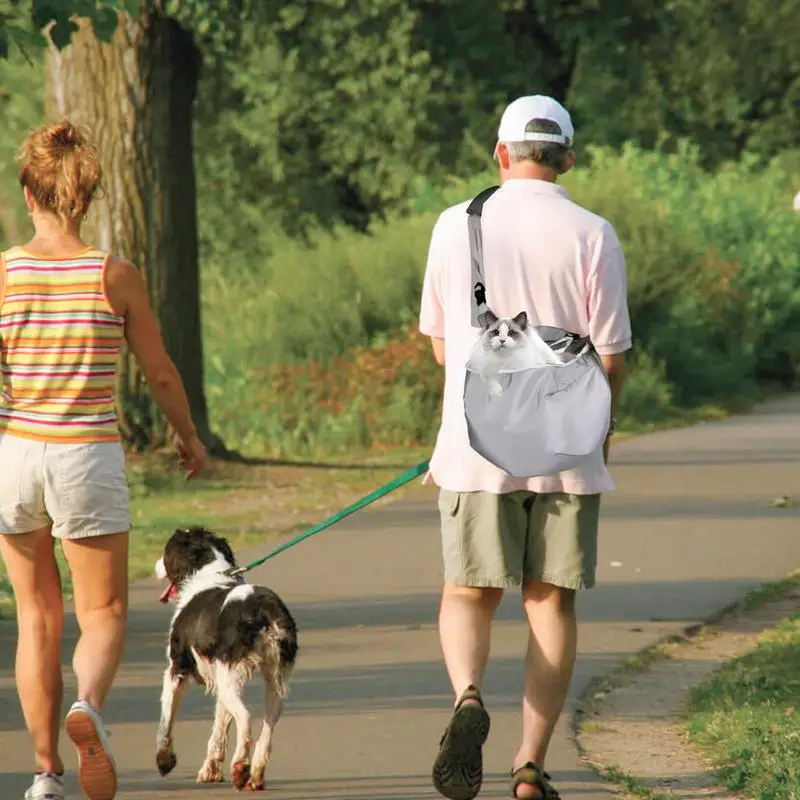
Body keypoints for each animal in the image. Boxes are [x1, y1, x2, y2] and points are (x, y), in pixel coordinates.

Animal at [152, 524, 296, 792]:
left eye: (167, 550)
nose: (155, 565)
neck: (208, 573)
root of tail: (263, 608)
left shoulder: (176, 670)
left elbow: (165, 721)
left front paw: (164, 761)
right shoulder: (220, 677)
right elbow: (219, 729)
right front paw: (210, 771)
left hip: (232, 680)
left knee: (246, 719)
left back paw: (240, 768)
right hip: (272, 680)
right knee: (268, 726)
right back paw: (255, 775)